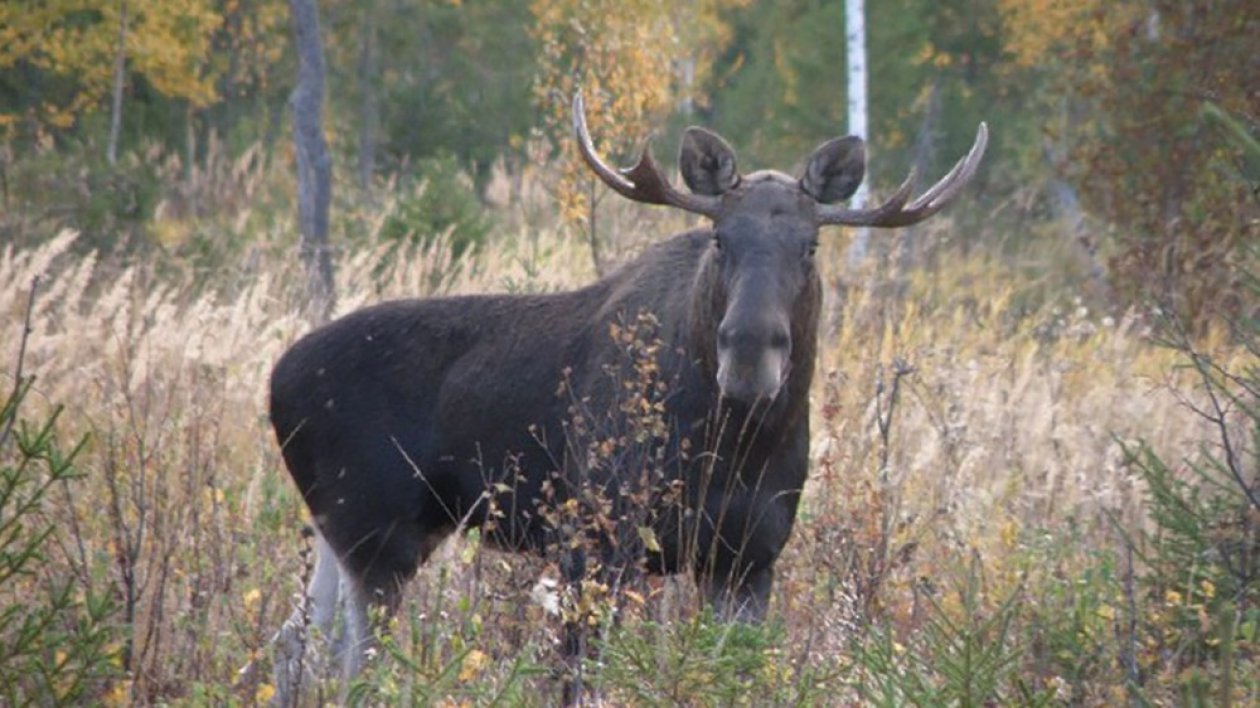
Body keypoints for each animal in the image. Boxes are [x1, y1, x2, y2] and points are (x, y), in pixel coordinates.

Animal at [270, 92, 987, 695]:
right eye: (720, 238)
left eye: (810, 245)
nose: (748, 356)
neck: (733, 447)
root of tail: (275, 381)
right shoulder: (597, 539)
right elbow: (580, 677)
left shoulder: (748, 556)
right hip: (378, 529)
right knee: (352, 665)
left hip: (349, 528)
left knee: (298, 641)